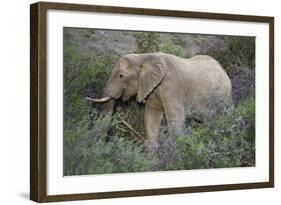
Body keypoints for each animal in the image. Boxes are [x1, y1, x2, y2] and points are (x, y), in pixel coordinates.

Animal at [86, 52, 231, 145]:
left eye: (121, 76)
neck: (144, 57)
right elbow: (151, 118)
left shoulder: (172, 87)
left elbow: (176, 120)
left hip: (223, 97)